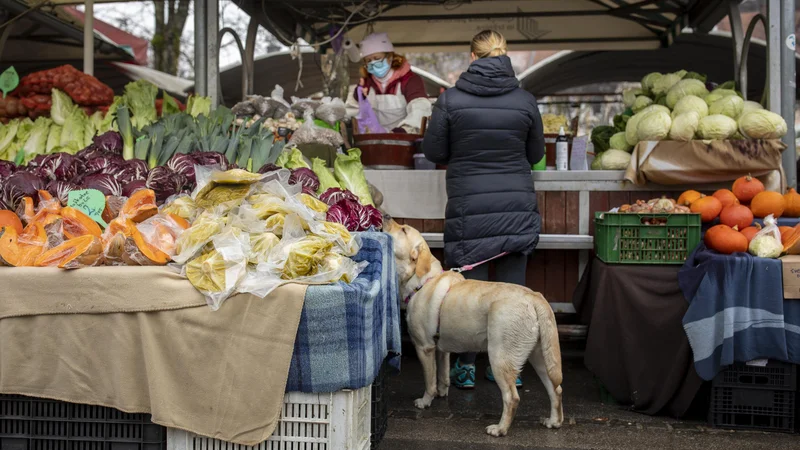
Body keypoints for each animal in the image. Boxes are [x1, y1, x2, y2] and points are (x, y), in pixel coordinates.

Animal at [386, 220, 564, 438]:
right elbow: (442, 375)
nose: (385, 216)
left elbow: (430, 380)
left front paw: (426, 401)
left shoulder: (424, 347)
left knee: (512, 397)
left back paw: (500, 429)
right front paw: (442, 393)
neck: (423, 281)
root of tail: (535, 297)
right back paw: (554, 421)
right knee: (555, 389)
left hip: (499, 357)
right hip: (540, 357)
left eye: (403, 230)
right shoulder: (441, 349)